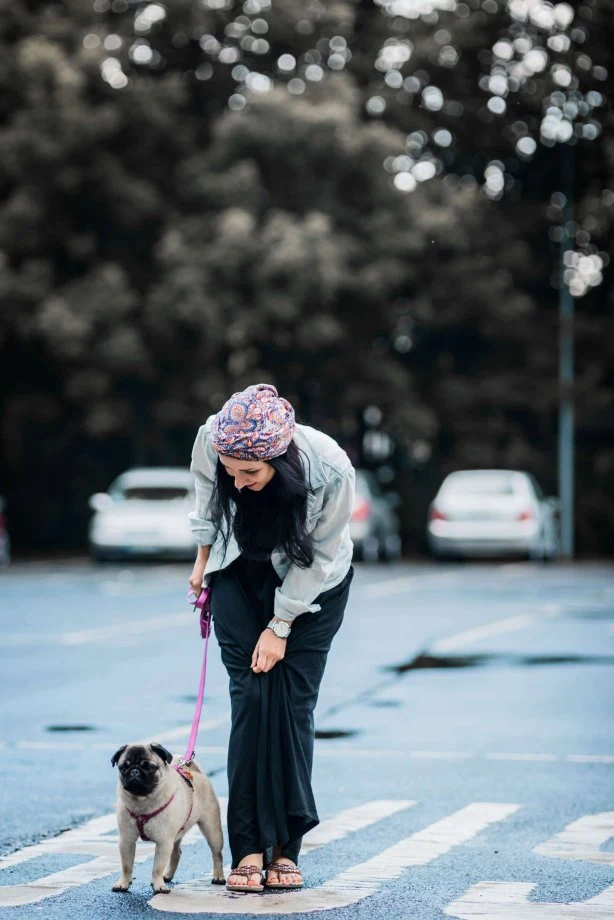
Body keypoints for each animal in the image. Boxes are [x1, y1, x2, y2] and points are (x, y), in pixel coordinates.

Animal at [111, 744, 226, 896]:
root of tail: (194, 771)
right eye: (124, 767)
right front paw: (123, 883)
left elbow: (157, 867)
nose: (134, 771)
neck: (142, 803)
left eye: (149, 767)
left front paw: (158, 886)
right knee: (176, 853)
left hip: (212, 830)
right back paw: (167, 875)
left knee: (217, 854)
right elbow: (126, 865)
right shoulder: (127, 840)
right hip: (176, 834)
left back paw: (218, 876)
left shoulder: (163, 842)